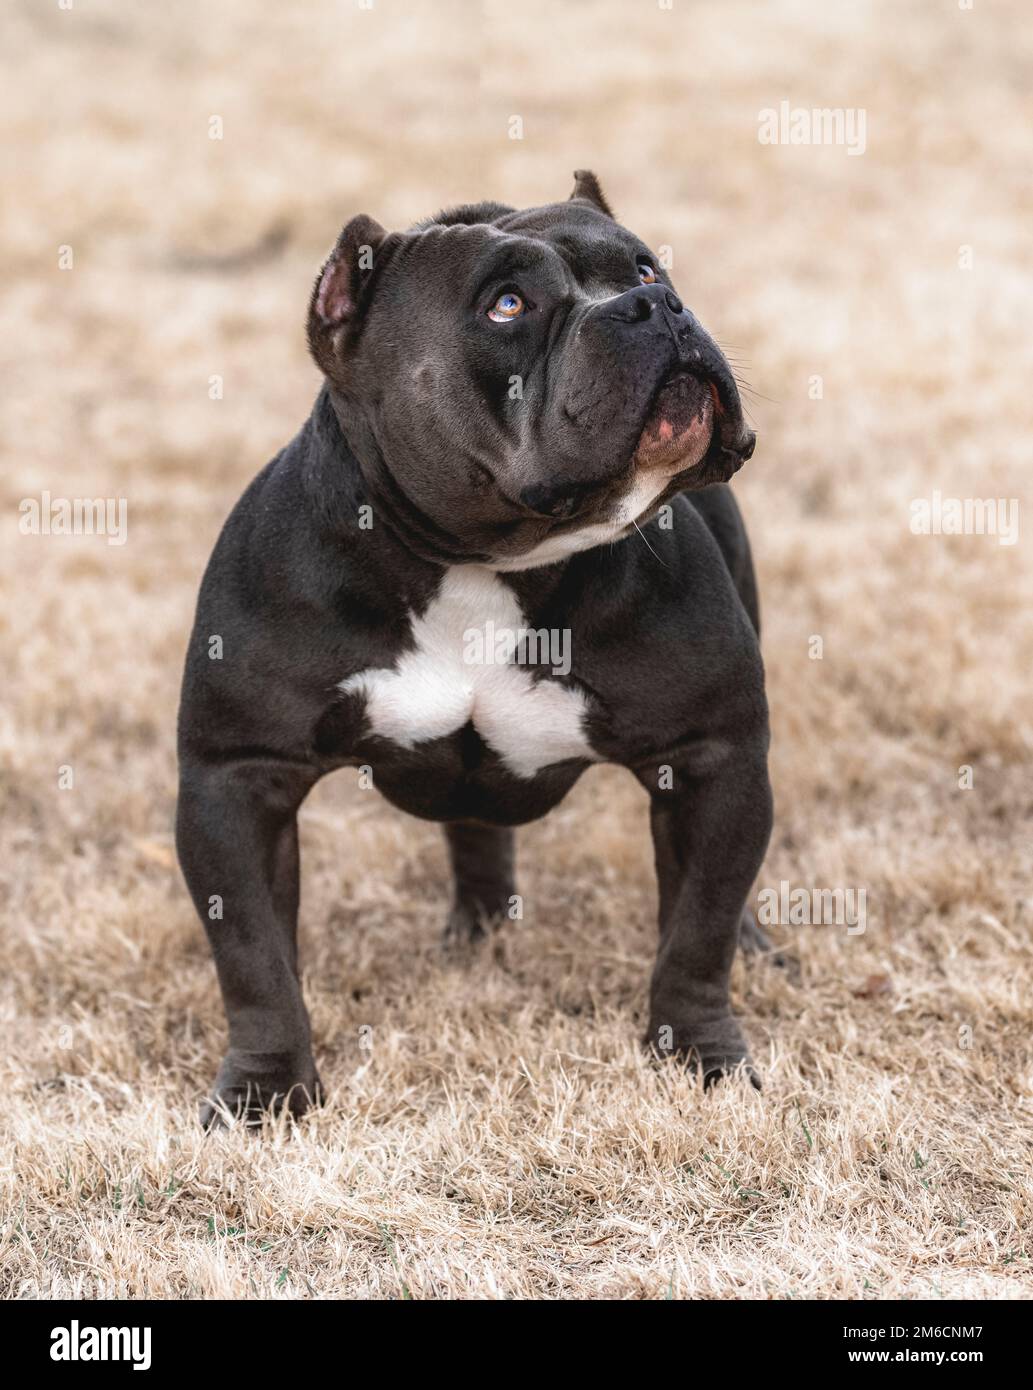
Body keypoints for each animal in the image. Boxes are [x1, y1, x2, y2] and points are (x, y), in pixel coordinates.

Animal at [177, 170, 773, 1128]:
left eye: (645, 265)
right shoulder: (236, 781)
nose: (656, 305)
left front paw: (702, 1058)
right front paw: (265, 1095)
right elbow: (257, 965)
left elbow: (698, 931)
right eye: (507, 305)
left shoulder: (712, 759)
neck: (483, 561)